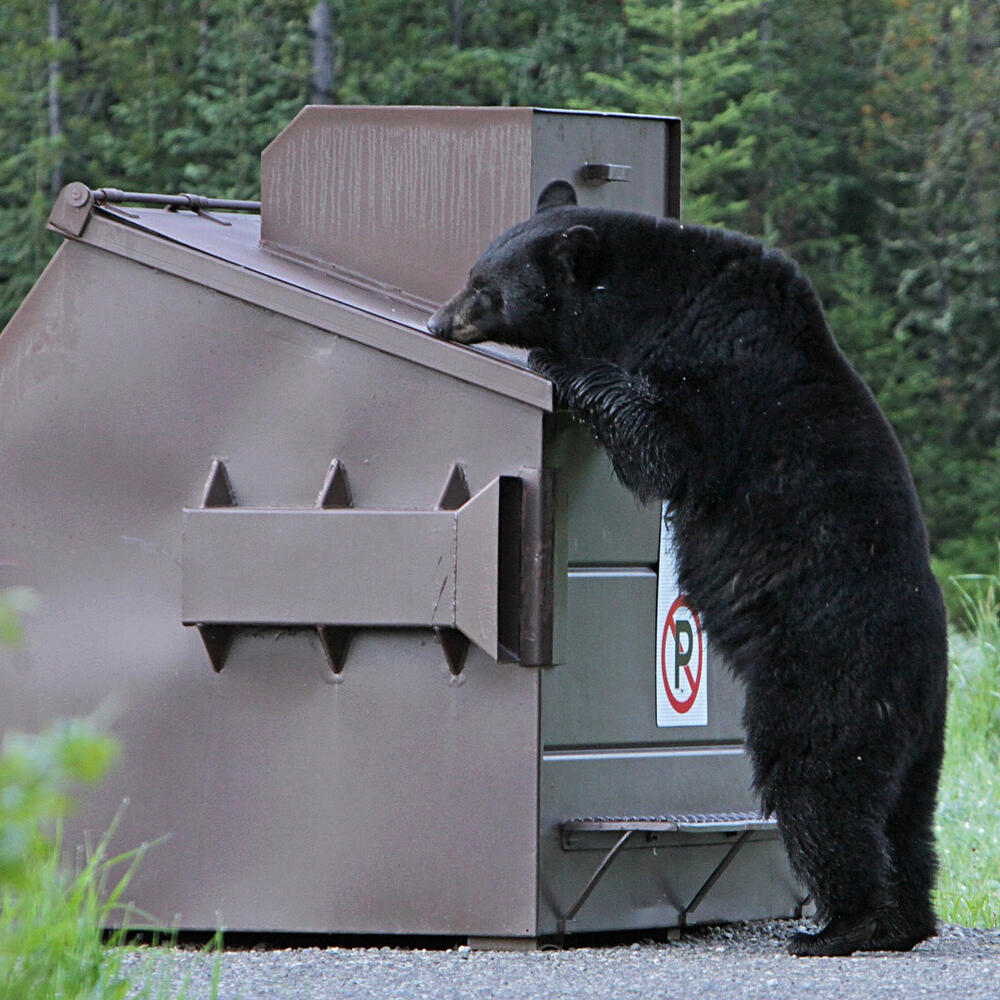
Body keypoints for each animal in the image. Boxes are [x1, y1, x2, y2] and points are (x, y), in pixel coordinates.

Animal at [426, 178, 948, 952]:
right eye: (472, 271)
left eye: (486, 287)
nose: (437, 322)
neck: (664, 297)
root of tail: (919, 673)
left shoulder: (723, 368)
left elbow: (664, 446)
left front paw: (560, 364)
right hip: (921, 737)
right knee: (908, 818)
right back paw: (905, 920)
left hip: (826, 677)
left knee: (821, 786)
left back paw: (840, 924)